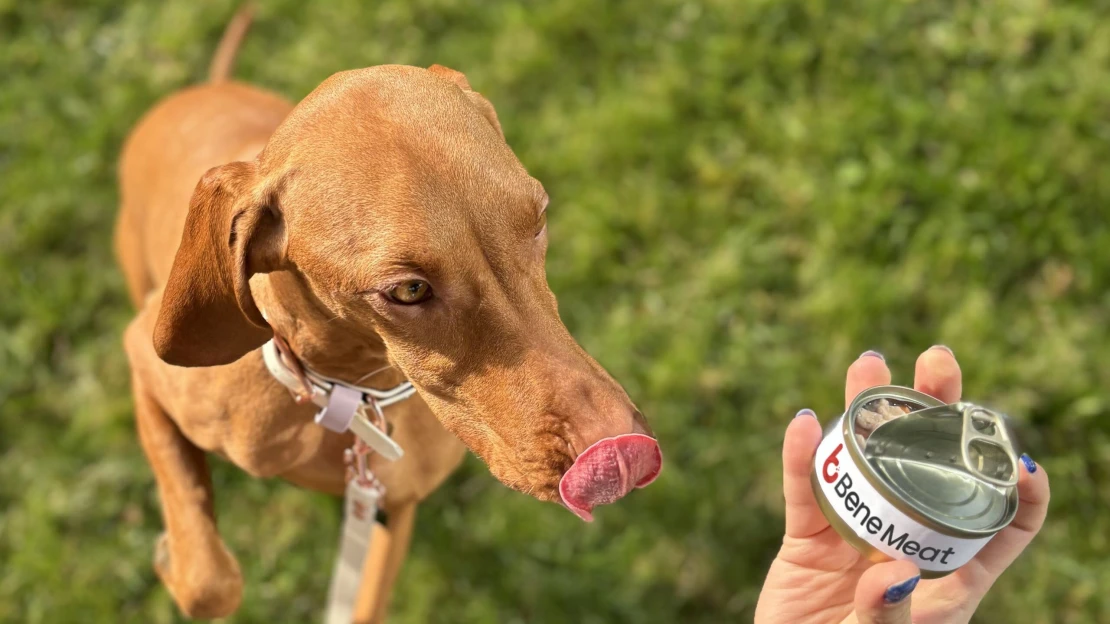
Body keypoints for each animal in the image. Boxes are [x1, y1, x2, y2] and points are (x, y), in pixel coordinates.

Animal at [114, 7, 657, 617]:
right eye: (409, 291)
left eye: (538, 219)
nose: (620, 456)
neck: (347, 393)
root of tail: (205, 87)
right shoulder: (144, 364)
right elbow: (210, 582)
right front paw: (171, 555)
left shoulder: (391, 506)